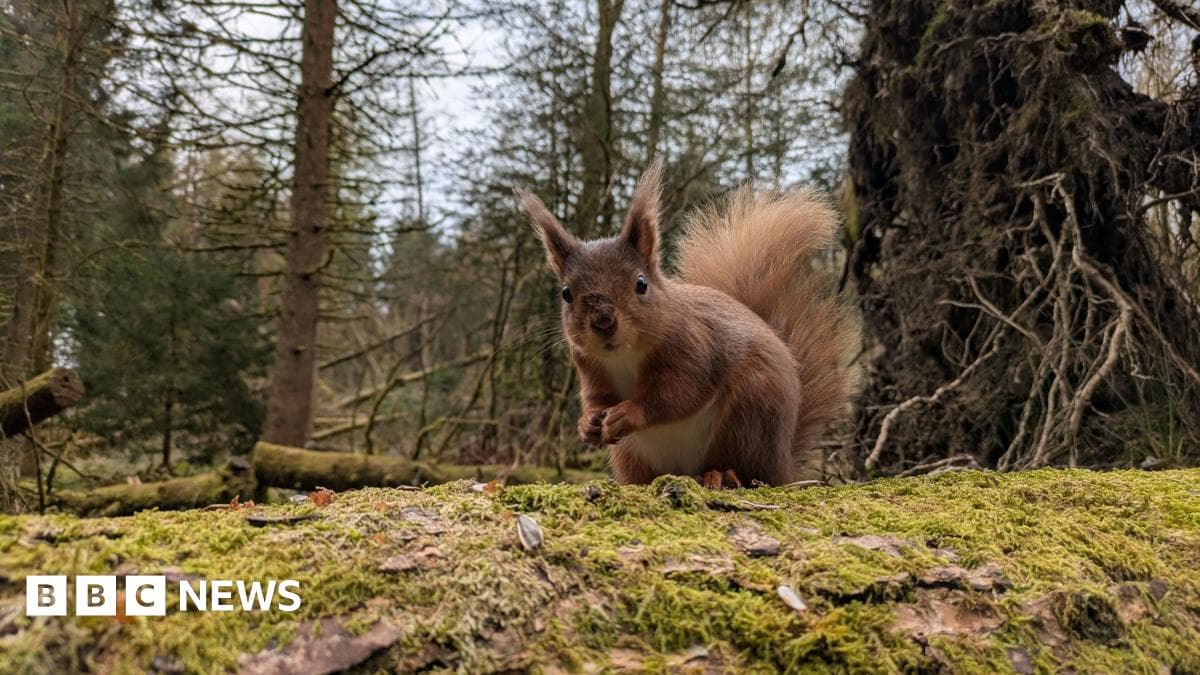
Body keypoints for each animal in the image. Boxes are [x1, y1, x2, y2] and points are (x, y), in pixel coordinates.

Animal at [516, 162, 859, 488]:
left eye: (641, 283)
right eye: (566, 293)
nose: (603, 321)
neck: (624, 354)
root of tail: (783, 464)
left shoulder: (693, 347)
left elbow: (678, 395)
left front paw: (629, 412)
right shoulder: (589, 364)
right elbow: (596, 398)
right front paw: (587, 423)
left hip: (749, 413)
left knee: (746, 469)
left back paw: (722, 475)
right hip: (631, 453)